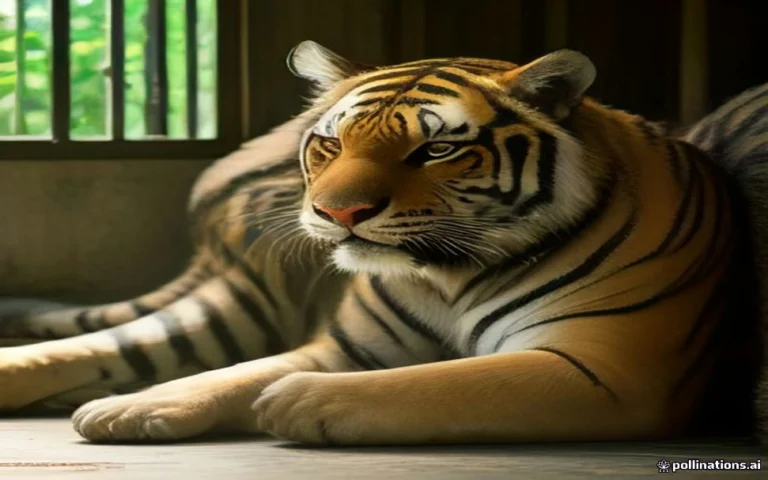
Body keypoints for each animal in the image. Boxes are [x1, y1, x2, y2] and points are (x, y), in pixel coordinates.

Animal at [0, 41, 763, 446]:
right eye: (332, 143)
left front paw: (293, 402)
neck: (447, 275)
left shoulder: (606, 368)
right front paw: (130, 408)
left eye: (437, 149)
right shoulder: (346, 346)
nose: (336, 211)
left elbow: (446, 382)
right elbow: (232, 373)